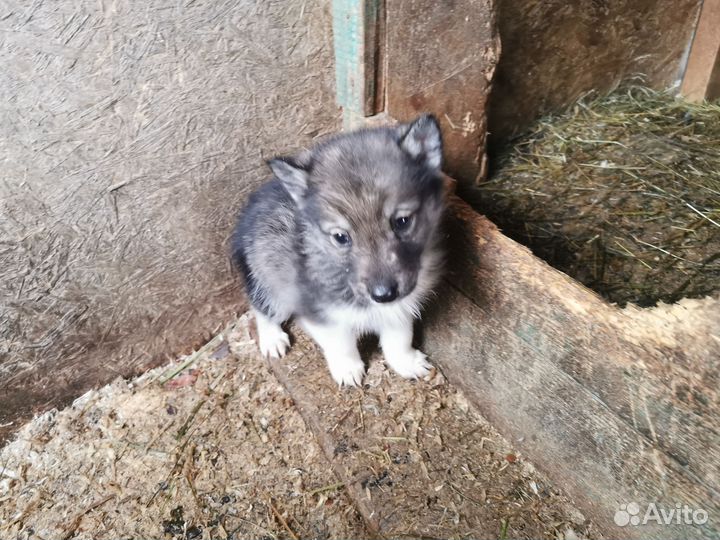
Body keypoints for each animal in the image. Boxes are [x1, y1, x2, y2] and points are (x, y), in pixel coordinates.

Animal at [231, 114, 444, 386]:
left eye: (402, 221)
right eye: (341, 237)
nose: (383, 294)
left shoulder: (401, 307)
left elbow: (400, 337)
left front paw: (405, 361)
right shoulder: (320, 314)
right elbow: (341, 344)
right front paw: (348, 368)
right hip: (267, 277)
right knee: (261, 307)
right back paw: (272, 338)